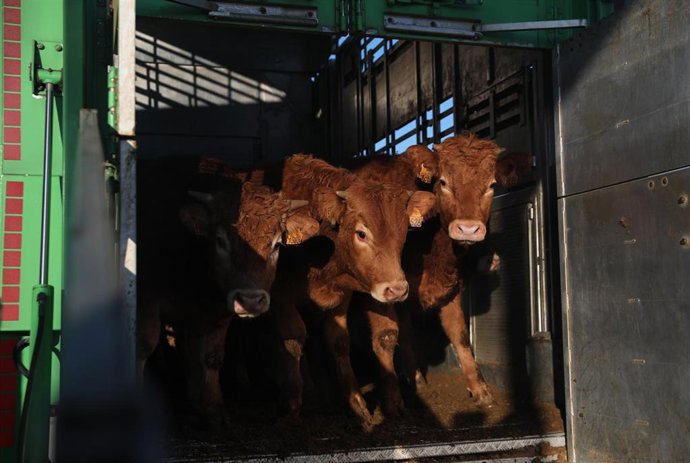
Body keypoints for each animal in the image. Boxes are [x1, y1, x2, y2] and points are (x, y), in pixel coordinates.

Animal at [136, 156, 319, 427]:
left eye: (277, 244)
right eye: (220, 240)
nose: (251, 301)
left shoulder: (216, 312)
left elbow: (210, 356)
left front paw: (212, 409)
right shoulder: (146, 298)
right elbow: (143, 345)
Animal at [267, 154, 435, 423]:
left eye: (403, 234)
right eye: (361, 233)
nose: (397, 290)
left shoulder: (342, 297)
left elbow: (343, 340)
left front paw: (361, 401)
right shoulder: (280, 294)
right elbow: (292, 339)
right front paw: (292, 407)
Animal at [350, 133, 532, 416]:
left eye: (492, 184)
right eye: (443, 181)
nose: (467, 229)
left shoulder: (450, 288)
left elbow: (459, 336)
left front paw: (480, 390)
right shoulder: (377, 291)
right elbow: (386, 338)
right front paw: (392, 401)